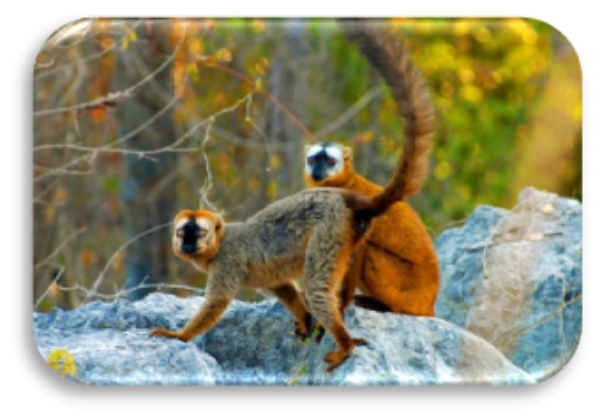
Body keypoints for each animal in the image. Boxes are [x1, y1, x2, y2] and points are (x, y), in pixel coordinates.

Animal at [304, 20, 439, 316]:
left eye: (330, 161)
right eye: (313, 159)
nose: (318, 172)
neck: (342, 183)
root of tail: (429, 304)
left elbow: (359, 247)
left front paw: (338, 303)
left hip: (404, 287)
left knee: (369, 250)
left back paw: (383, 305)